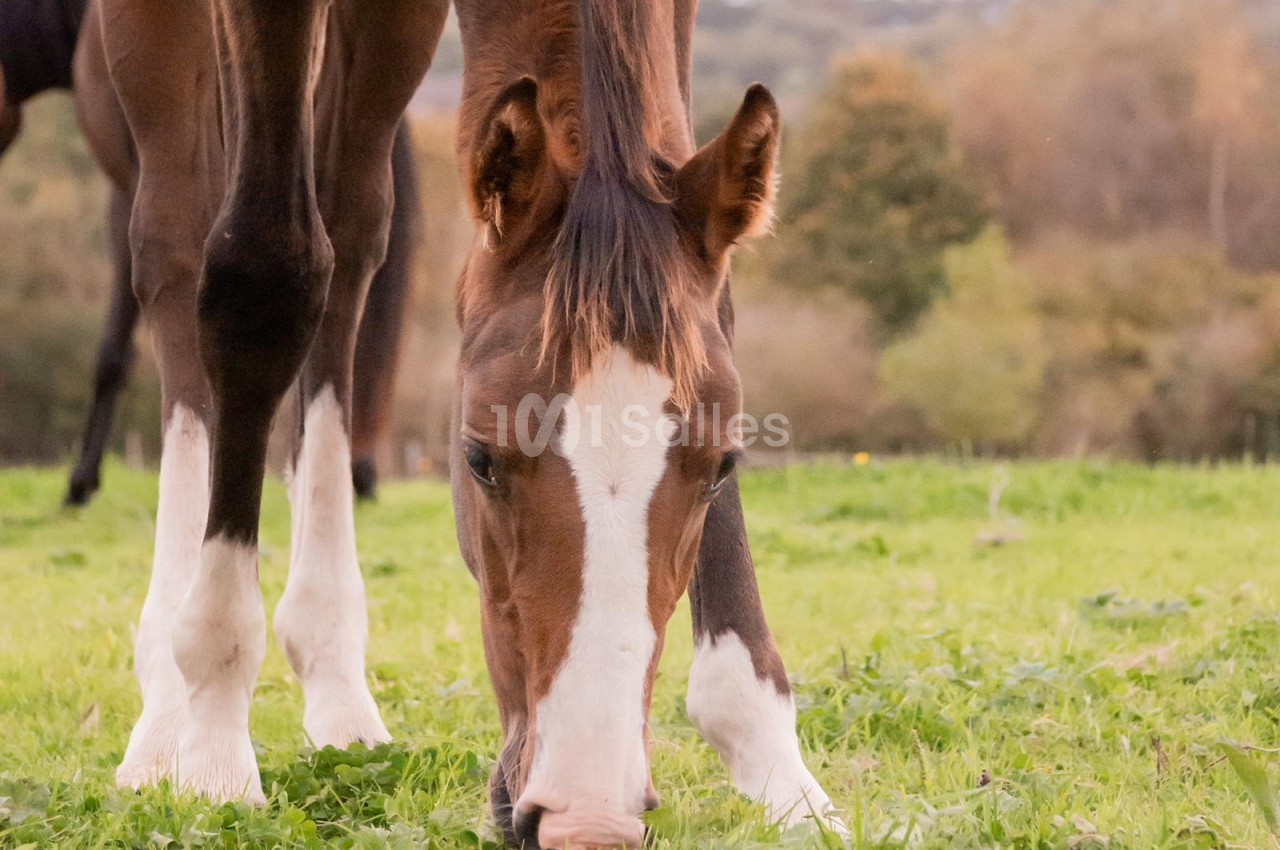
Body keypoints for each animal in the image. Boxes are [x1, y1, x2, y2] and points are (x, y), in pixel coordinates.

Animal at [98, 1, 841, 847]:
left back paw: (335, 687)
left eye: (724, 466)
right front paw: (217, 743)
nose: (586, 816)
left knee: (350, 232)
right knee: (178, 245)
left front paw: (771, 756)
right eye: (479, 459)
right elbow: (264, 273)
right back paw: (168, 715)